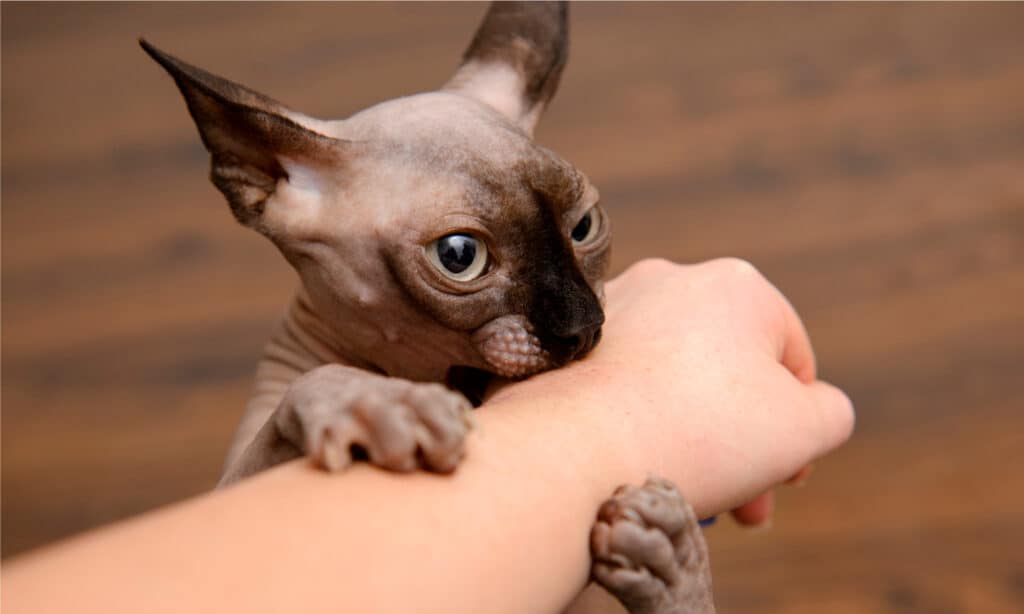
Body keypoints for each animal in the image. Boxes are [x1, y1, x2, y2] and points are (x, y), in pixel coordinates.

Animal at [142, 2, 712, 609]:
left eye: (583, 228)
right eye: (459, 256)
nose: (583, 328)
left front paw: (670, 557)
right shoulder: (230, 490)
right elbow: (303, 395)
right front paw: (375, 401)